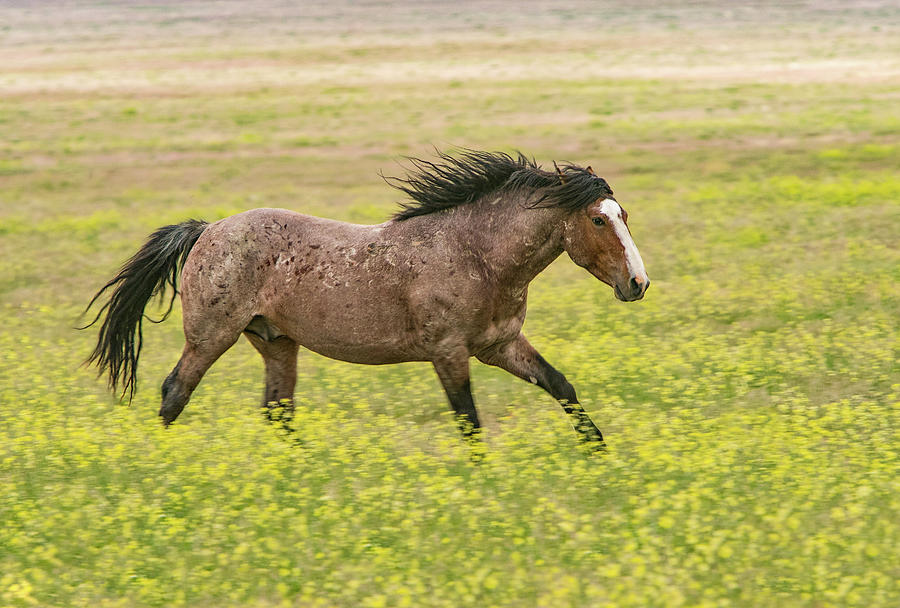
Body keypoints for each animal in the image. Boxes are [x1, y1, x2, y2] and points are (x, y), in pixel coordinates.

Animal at [82, 150, 648, 448]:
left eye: (623, 214)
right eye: (598, 220)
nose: (638, 283)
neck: (478, 254)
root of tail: (205, 230)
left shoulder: (500, 345)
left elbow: (561, 386)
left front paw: (598, 453)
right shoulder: (449, 352)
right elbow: (468, 420)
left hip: (276, 342)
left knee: (277, 410)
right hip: (210, 336)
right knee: (176, 390)